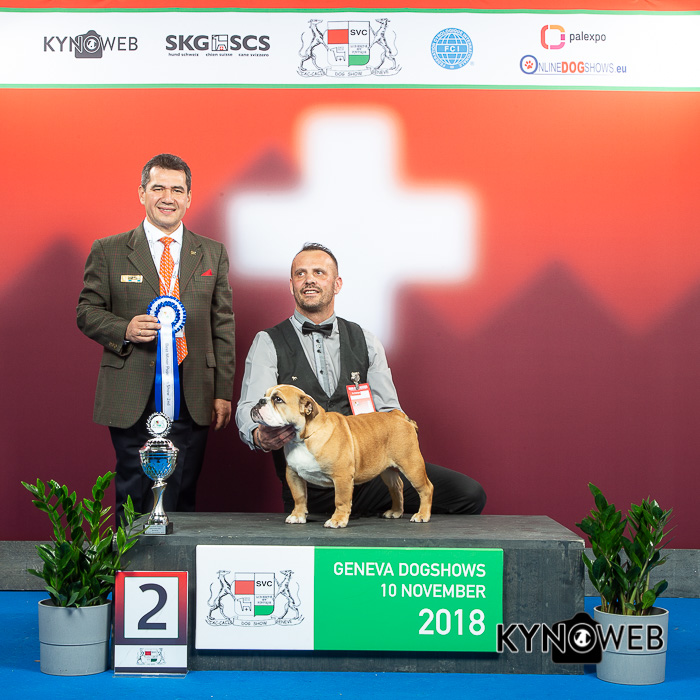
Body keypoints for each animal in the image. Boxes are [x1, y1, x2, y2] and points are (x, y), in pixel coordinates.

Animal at [251, 384, 433, 528]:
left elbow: (340, 500)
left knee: (426, 488)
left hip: (411, 464)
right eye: (265, 395)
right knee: (397, 486)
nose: (259, 401)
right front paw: (297, 516)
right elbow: (299, 497)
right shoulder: (293, 474)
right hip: (388, 470)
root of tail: (399, 415)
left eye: (278, 399)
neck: (303, 438)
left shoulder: (342, 477)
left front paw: (337, 520)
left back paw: (422, 515)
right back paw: (395, 512)